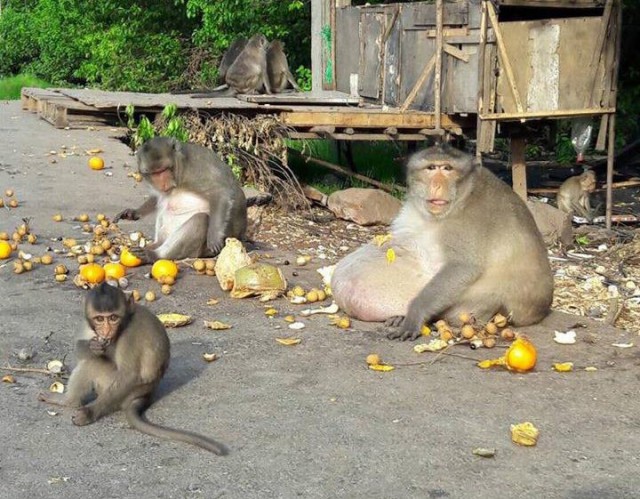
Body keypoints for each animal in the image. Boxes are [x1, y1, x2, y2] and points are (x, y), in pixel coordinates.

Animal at [38, 284, 229, 456]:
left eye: (113, 317)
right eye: (99, 319)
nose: (106, 330)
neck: (126, 320)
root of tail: (144, 396)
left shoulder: (129, 335)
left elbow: (128, 375)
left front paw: (89, 413)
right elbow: (80, 348)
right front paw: (94, 346)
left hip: (113, 391)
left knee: (93, 364)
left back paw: (69, 402)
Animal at [114, 137, 246, 262]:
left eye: (163, 170)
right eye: (155, 173)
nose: (162, 184)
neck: (180, 168)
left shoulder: (196, 171)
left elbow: (220, 193)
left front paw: (214, 238)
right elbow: (158, 196)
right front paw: (133, 213)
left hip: (199, 251)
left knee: (201, 219)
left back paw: (154, 255)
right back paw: (154, 245)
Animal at [332, 143, 552, 342]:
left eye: (447, 168)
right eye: (431, 168)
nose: (437, 185)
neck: (463, 196)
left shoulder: (469, 221)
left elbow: (463, 267)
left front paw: (415, 314)